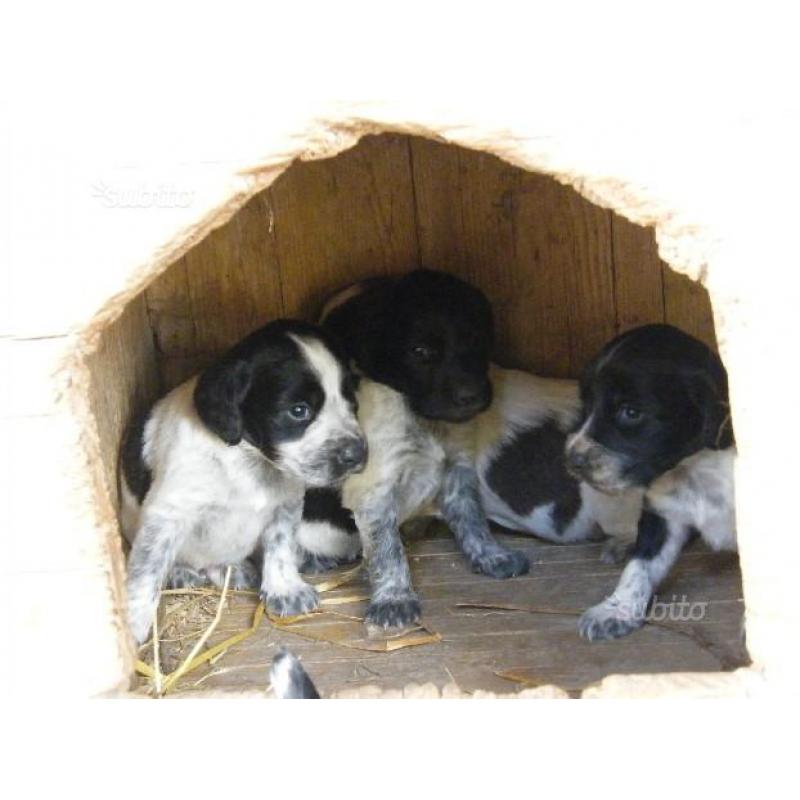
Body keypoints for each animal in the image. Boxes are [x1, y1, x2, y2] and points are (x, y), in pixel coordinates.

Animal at [119, 318, 366, 644]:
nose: (358, 453)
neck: (247, 461)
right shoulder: (168, 513)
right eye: (299, 411)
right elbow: (146, 570)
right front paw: (133, 624)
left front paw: (285, 588)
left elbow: (280, 547)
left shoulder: (285, 504)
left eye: (352, 403)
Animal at [296, 272, 528, 636]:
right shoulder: (374, 490)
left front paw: (491, 555)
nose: (472, 396)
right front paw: (394, 599)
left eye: (476, 339)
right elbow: (388, 551)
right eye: (420, 352)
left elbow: (472, 518)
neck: (423, 420)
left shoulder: (457, 466)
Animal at [564, 322, 736, 640]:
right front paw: (615, 610)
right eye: (587, 404)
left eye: (630, 412)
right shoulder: (661, 513)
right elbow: (640, 565)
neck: (692, 468)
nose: (572, 460)